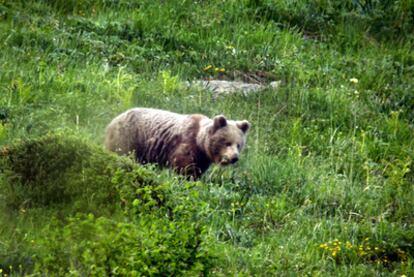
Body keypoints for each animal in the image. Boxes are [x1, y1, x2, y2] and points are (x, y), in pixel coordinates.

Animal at [105, 106, 251, 178]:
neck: (200, 143)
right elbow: (183, 167)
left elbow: (197, 171)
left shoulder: (202, 158)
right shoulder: (186, 144)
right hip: (128, 138)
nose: (234, 157)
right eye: (227, 142)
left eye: (239, 145)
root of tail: (113, 120)